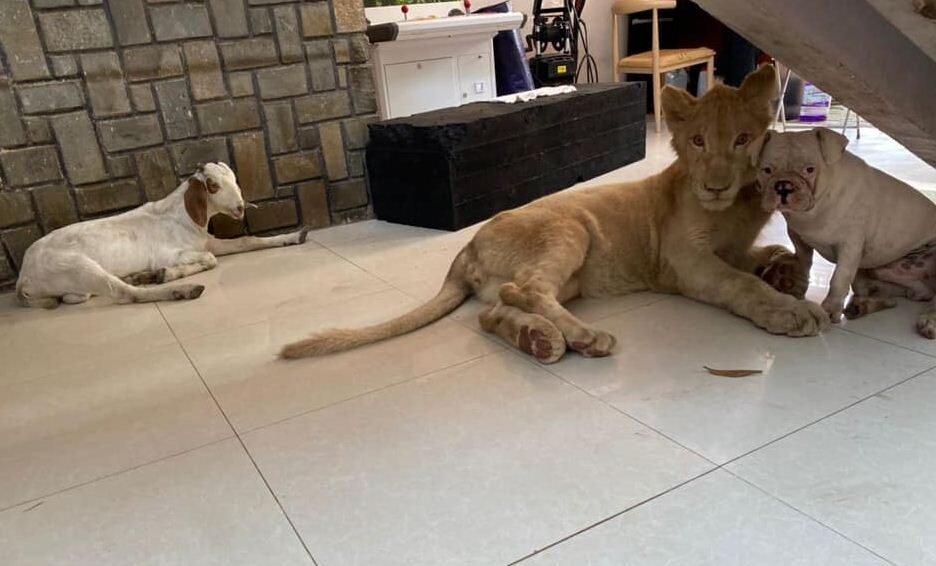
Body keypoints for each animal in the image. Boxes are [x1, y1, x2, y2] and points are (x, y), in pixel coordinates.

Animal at [281, 65, 829, 363]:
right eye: (697, 142)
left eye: (742, 140)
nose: (715, 186)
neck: (730, 209)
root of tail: (466, 247)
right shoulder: (684, 264)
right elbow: (739, 283)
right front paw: (790, 308)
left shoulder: (731, 246)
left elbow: (759, 255)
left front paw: (786, 272)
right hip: (569, 231)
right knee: (525, 289)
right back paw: (583, 336)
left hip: (571, 280)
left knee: (496, 308)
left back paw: (538, 339)